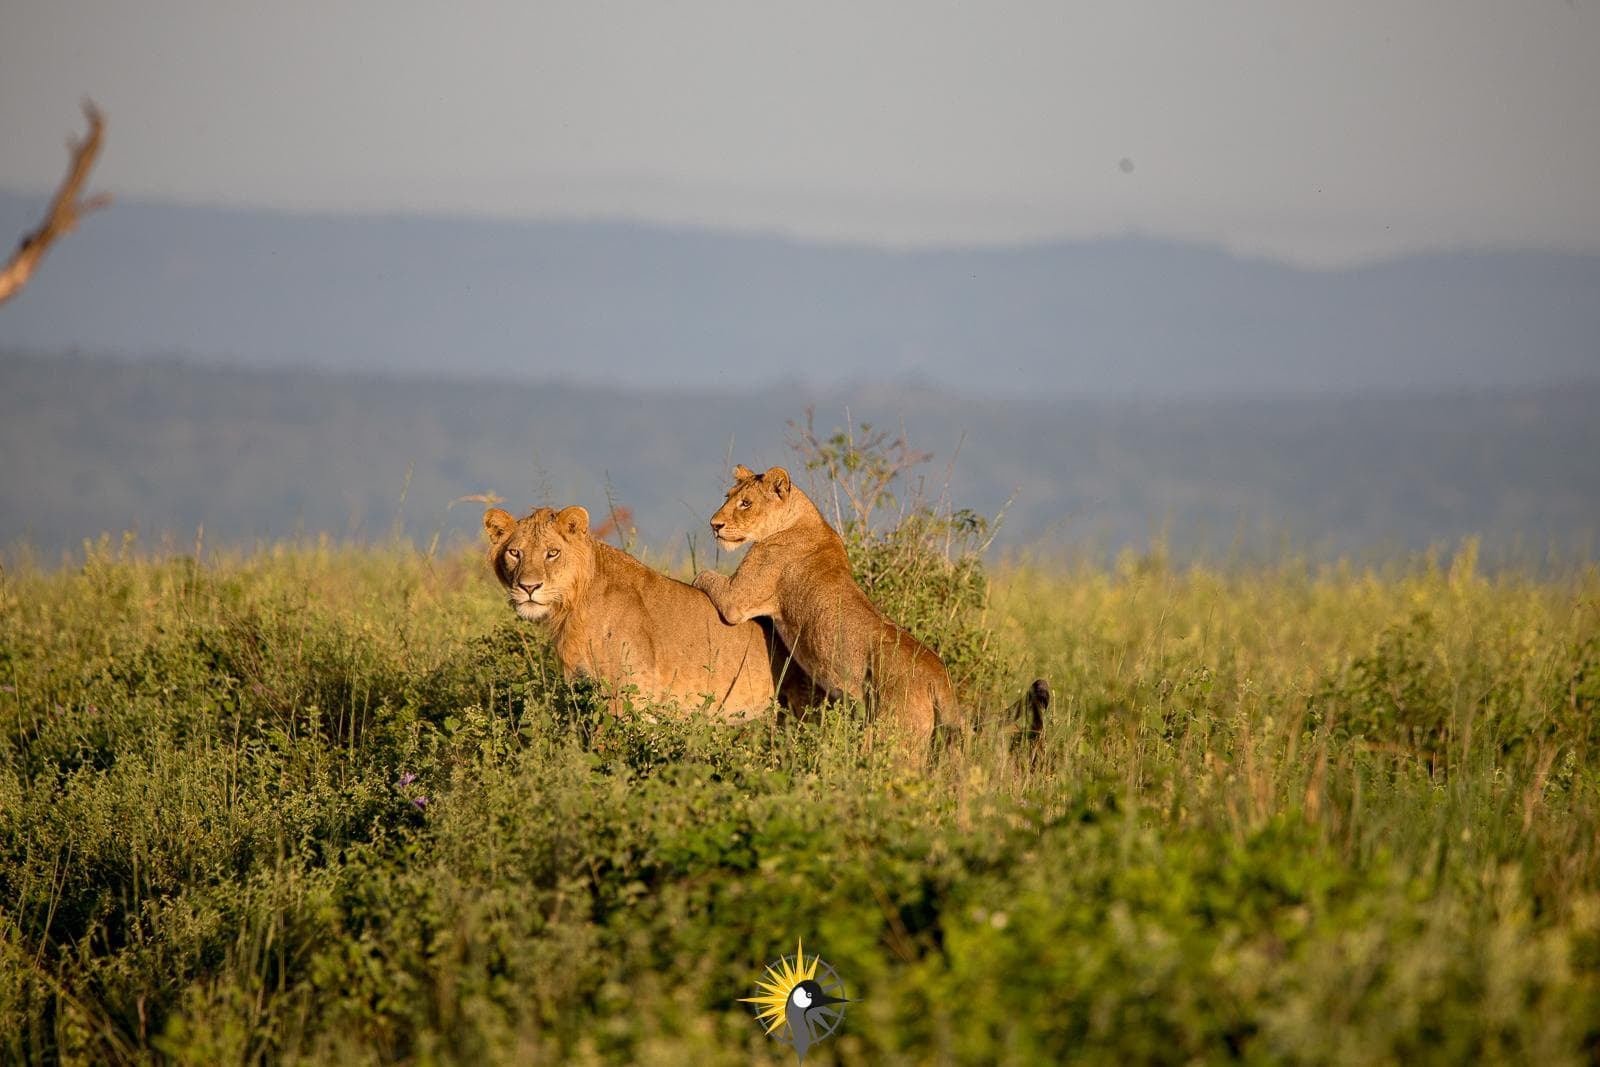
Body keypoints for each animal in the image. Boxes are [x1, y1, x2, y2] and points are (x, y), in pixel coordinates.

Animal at [693, 465, 1049, 749]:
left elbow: (704, 576)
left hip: (893, 734)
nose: (713, 524)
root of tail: (939, 672)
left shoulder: (737, 599)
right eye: (727, 496)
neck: (801, 516)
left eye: (746, 503)